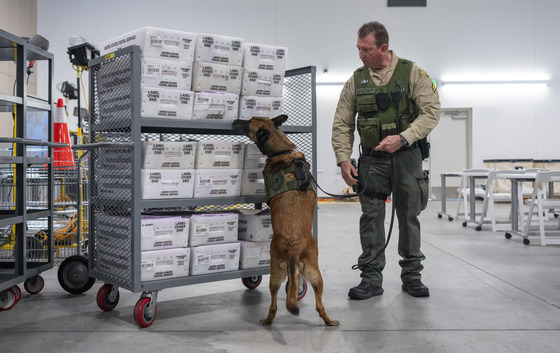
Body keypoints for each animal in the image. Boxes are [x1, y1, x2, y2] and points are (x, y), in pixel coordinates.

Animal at [231, 115, 336, 324]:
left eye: (248, 122)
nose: (234, 121)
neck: (282, 149)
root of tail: (294, 248)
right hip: (315, 276)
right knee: (319, 305)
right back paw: (329, 321)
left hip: (274, 275)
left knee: (273, 305)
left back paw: (266, 320)